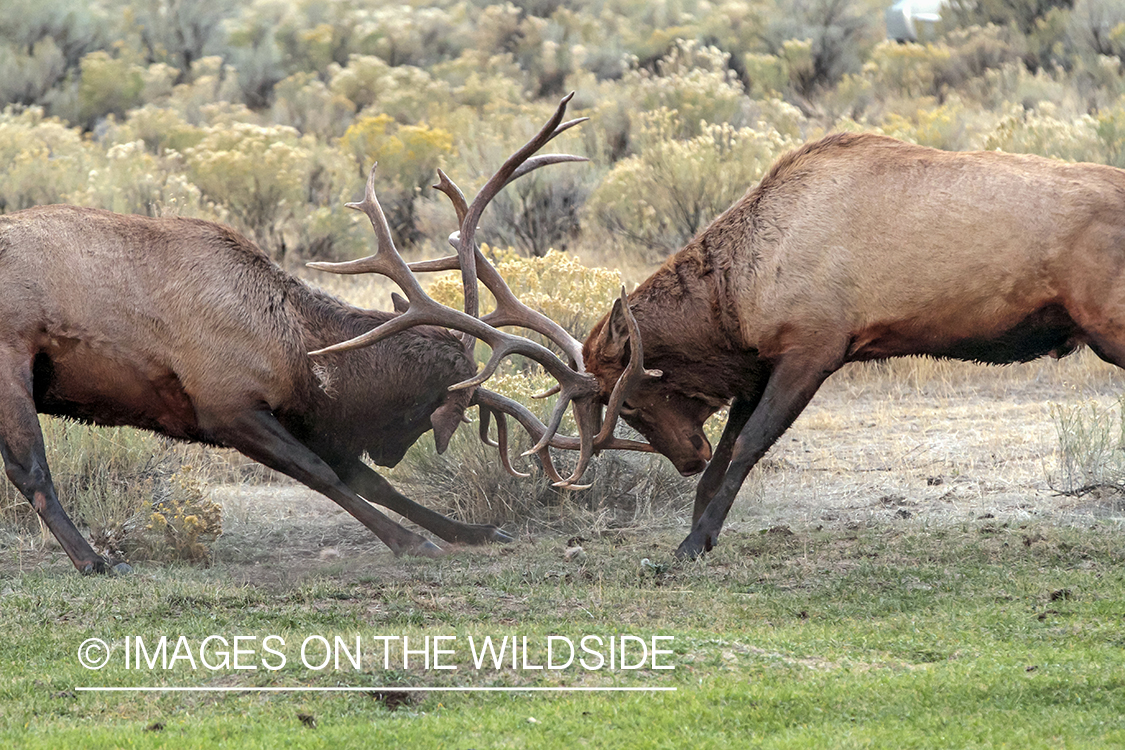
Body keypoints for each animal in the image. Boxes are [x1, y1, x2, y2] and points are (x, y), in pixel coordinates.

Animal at [580, 132, 1125, 559]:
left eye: (628, 402)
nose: (685, 458)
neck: (740, 298)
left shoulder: (814, 348)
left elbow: (750, 444)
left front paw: (694, 541)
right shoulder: (763, 366)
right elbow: (727, 454)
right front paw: (699, 532)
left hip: (1110, 326)